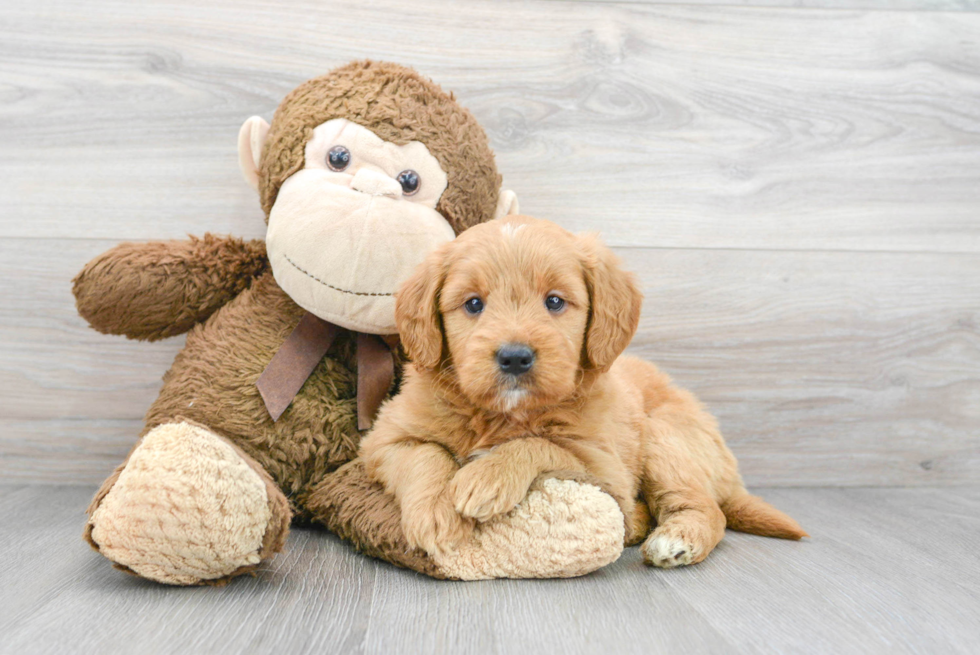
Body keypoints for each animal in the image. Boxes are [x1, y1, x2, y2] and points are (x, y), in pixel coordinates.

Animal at [360, 217, 804, 568]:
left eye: (555, 301)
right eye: (473, 304)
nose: (515, 357)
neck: (502, 414)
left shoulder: (604, 465)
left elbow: (541, 443)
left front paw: (487, 477)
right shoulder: (383, 439)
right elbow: (426, 455)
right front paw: (436, 514)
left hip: (665, 438)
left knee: (707, 508)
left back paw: (675, 539)